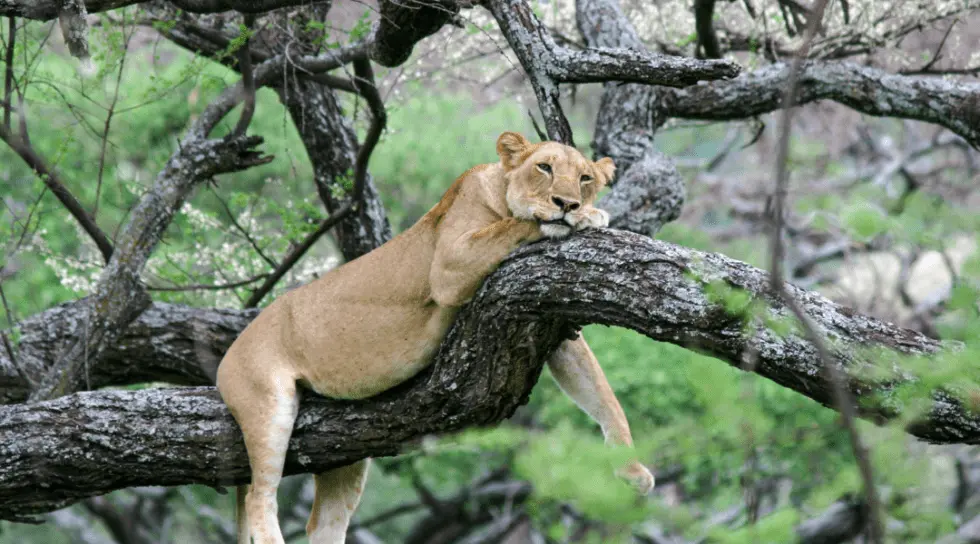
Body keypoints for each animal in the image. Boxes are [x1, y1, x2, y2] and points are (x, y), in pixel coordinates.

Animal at [216, 131, 655, 544]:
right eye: (544, 168)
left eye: (585, 178)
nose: (568, 203)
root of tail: (227, 355)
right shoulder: (450, 264)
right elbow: (517, 224)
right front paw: (588, 215)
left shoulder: (548, 323)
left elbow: (601, 392)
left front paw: (631, 468)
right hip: (267, 406)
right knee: (259, 496)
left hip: (343, 457)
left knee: (322, 524)